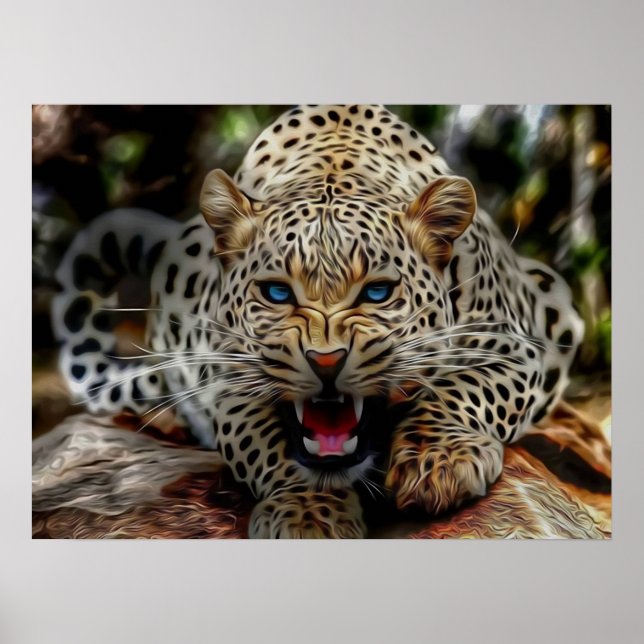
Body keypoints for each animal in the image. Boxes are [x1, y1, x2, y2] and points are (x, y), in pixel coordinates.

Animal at [51, 105, 583, 538]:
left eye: (377, 292)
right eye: (277, 292)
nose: (326, 361)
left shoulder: (510, 344)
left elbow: (464, 390)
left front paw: (441, 462)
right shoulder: (227, 379)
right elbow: (270, 445)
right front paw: (307, 512)